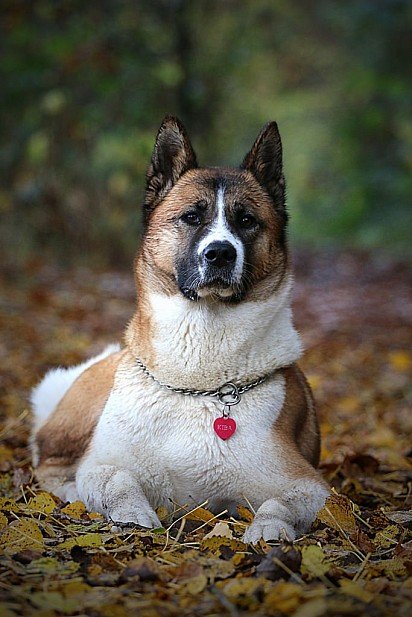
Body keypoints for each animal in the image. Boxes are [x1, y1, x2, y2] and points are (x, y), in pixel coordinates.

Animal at [30, 115, 330, 540]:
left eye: (246, 221)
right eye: (191, 216)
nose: (220, 253)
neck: (200, 378)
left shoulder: (308, 484)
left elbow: (280, 504)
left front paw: (268, 534)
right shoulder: (105, 464)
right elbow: (115, 482)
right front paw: (134, 517)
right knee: (49, 461)